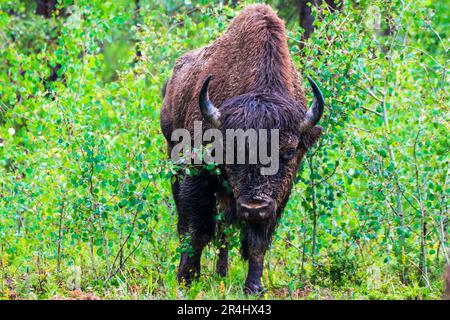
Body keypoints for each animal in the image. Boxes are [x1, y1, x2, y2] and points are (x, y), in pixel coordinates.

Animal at [160, 3, 326, 294]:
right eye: (230, 149)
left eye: (289, 151)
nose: (254, 207)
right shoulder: (197, 172)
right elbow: (198, 229)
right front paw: (187, 279)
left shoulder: (278, 197)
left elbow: (257, 241)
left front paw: (254, 286)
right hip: (175, 158)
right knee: (189, 224)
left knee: (225, 229)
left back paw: (222, 273)